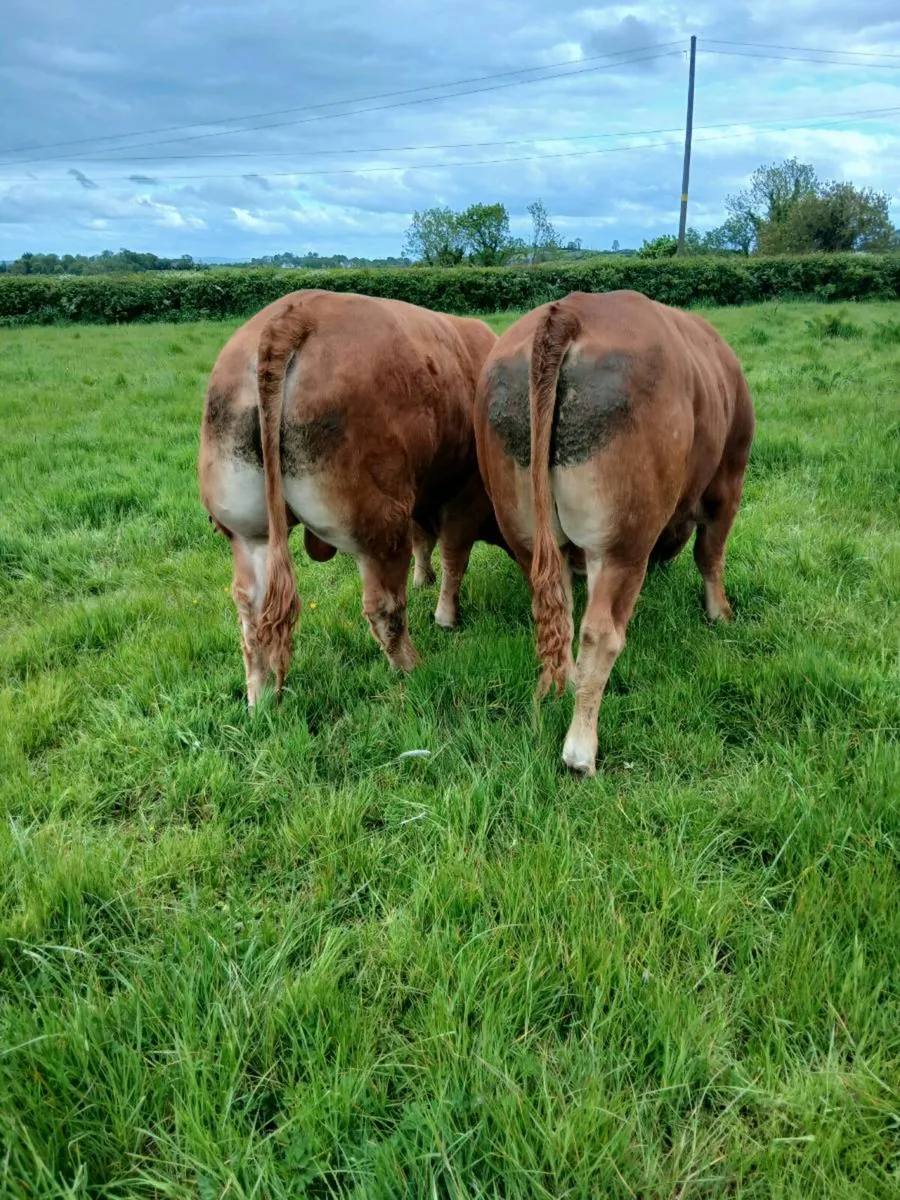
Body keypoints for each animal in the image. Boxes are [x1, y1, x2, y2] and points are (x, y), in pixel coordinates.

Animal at [199, 289, 503, 707]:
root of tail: (293, 312)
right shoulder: (464, 495)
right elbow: (454, 556)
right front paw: (446, 617)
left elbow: (425, 541)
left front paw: (423, 579)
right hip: (379, 526)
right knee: (383, 608)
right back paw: (413, 669)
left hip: (248, 531)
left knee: (251, 611)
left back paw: (260, 700)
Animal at [474, 289, 755, 775]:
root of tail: (570, 311)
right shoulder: (727, 479)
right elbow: (711, 554)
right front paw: (720, 613)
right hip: (623, 542)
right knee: (600, 634)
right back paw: (580, 750)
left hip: (529, 533)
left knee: (561, 618)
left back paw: (567, 687)